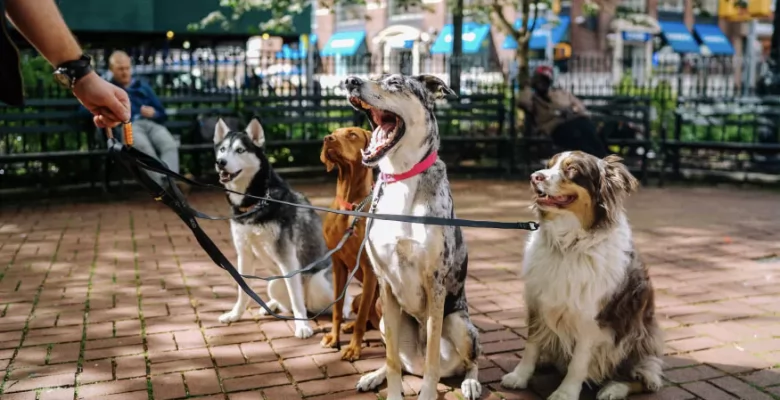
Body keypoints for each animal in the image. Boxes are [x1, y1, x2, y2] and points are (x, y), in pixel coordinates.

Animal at [320, 126, 380, 360]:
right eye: (333, 132)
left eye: (352, 134)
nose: (327, 139)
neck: (350, 207)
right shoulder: (338, 264)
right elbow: (337, 309)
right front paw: (334, 337)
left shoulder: (370, 269)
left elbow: (362, 318)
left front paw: (354, 348)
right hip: (357, 297)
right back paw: (349, 326)